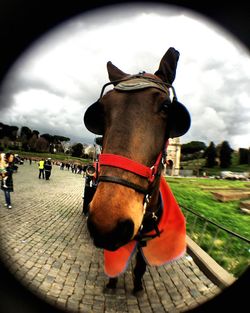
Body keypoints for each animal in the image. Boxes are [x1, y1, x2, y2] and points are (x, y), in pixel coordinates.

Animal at [83, 47, 190, 294]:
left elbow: (141, 262)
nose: (107, 223)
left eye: (167, 108)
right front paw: (112, 281)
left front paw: (138, 284)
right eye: (101, 111)